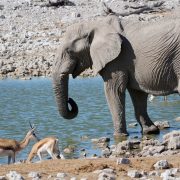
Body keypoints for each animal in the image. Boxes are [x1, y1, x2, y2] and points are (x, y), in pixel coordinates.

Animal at [52, 14, 180, 136]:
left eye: (69, 51)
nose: (70, 100)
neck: (94, 24)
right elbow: (138, 93)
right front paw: (150, 131)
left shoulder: (116, 60)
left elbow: (113, 90)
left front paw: (119, 136)